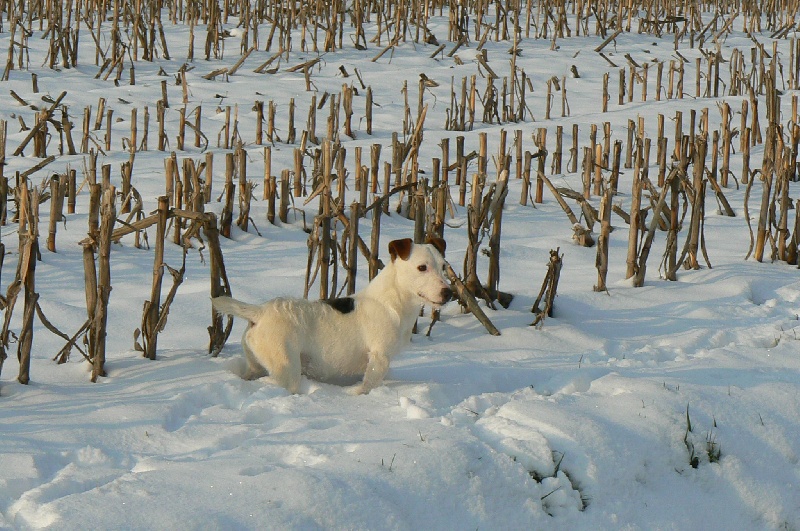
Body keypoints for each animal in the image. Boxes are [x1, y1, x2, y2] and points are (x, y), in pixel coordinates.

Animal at [211, 237, 450, 394]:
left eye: (444, 266)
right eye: (422, 267)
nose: (448, 292)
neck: (393, 301)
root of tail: (260, 311)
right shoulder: (379, 358)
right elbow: (367, 385)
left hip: (256, 364)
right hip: (286, 368)